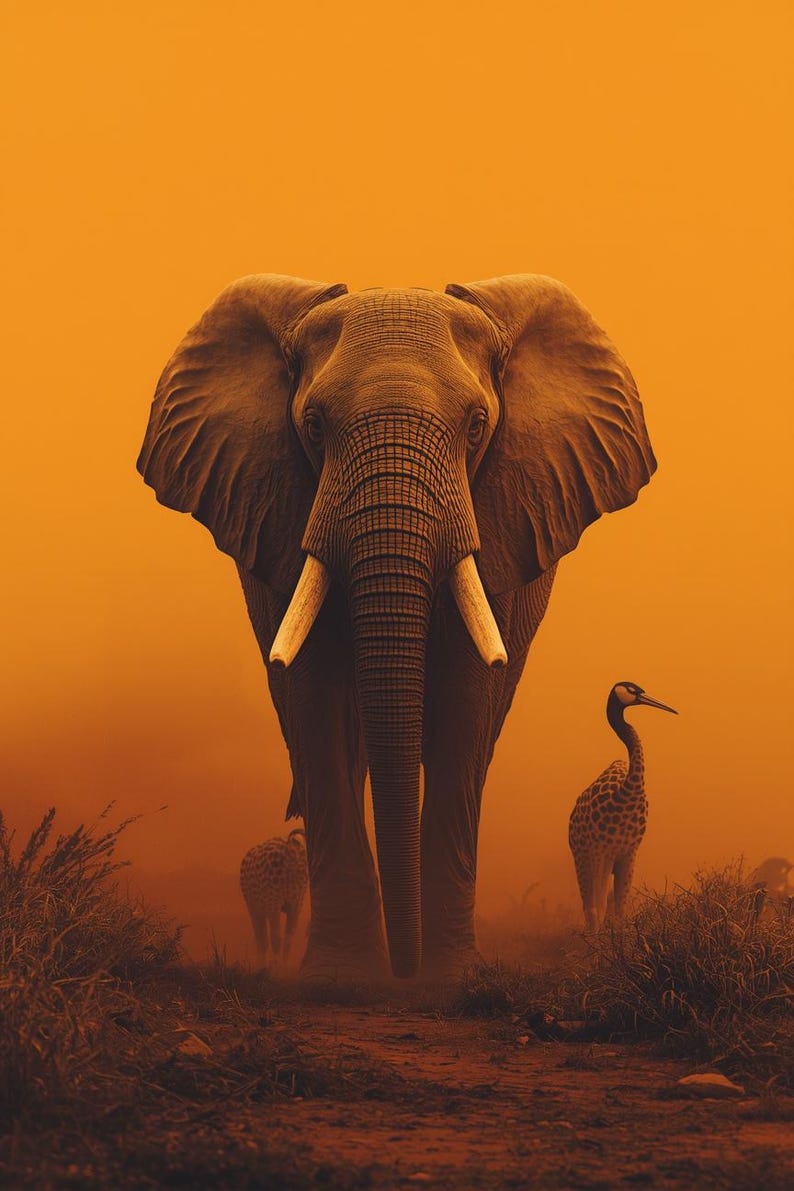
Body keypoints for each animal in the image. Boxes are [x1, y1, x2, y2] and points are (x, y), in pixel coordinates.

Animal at [137, 273, 656, 982]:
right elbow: (314, 700)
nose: (402, 972)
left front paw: (449, 980)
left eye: (477, 426)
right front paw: (342, 979)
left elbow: (468, 705)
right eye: (313, 425)